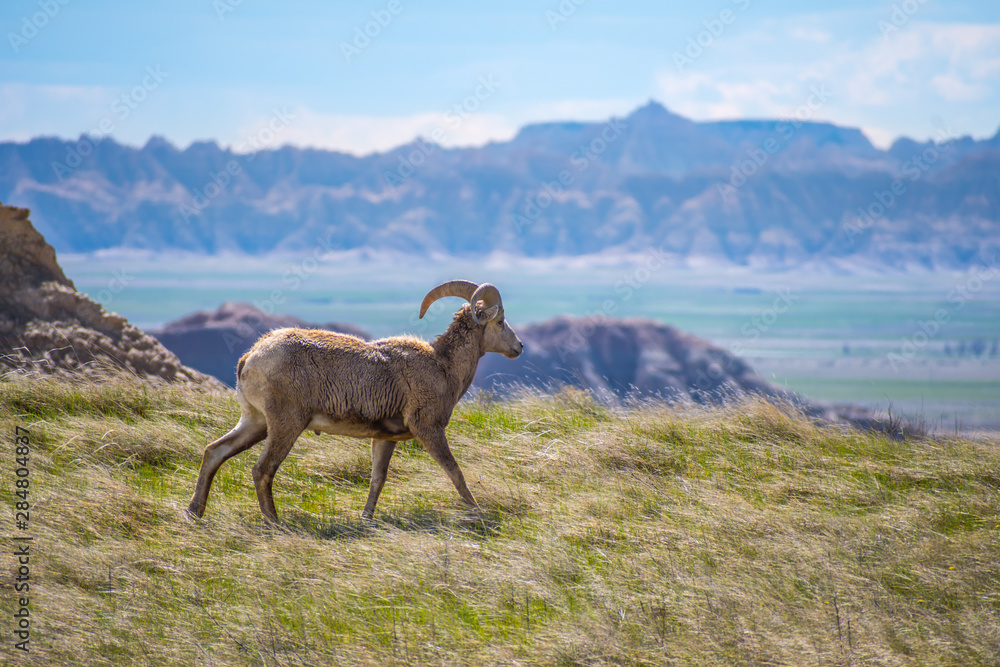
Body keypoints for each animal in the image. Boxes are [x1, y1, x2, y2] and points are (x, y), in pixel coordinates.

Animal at [187, 280, 523, 523]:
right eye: (500, 321)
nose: (519, 347)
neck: (443, 367)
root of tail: (249, 359)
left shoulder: (385, 439)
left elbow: (377, 479)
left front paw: (366, 519)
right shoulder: (428, 429)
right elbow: (455, 472)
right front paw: (478, 512)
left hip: (255, 422)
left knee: (215, 452)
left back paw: (195, 512)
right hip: (285, 425)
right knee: (262, 469)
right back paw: (274, 523)